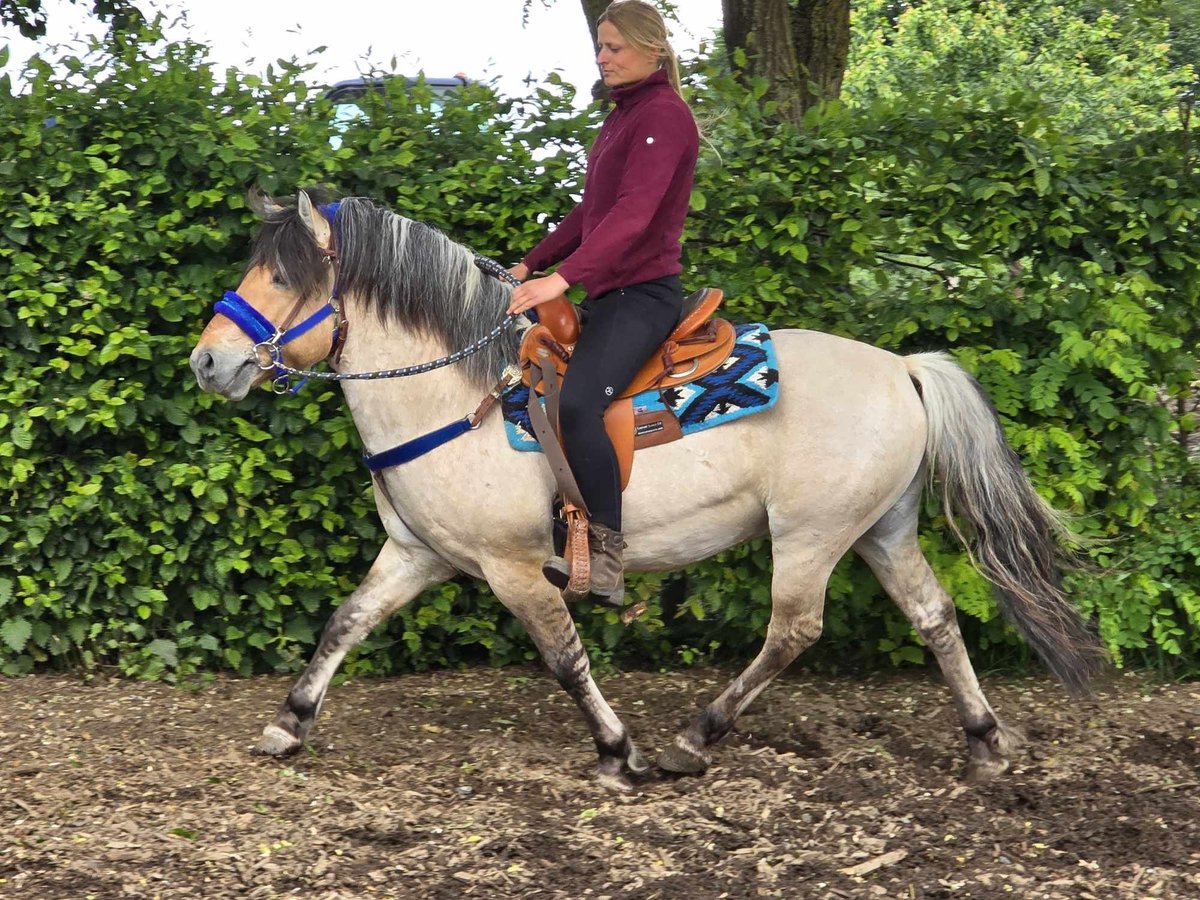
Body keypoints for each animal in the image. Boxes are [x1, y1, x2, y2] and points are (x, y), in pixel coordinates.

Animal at [184, 188, 1104, 787]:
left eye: (282, 277)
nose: (208, 362)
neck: (458, 393)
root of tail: (904, 368)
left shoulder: (515, 569)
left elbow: (564, 656)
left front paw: (616, 752)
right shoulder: (416, 554)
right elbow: (346, 621)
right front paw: (288, 722)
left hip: (811, 534)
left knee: (793, 630)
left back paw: (694, 738)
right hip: (881, 529)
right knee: (934, 616)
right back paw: (984, 741)